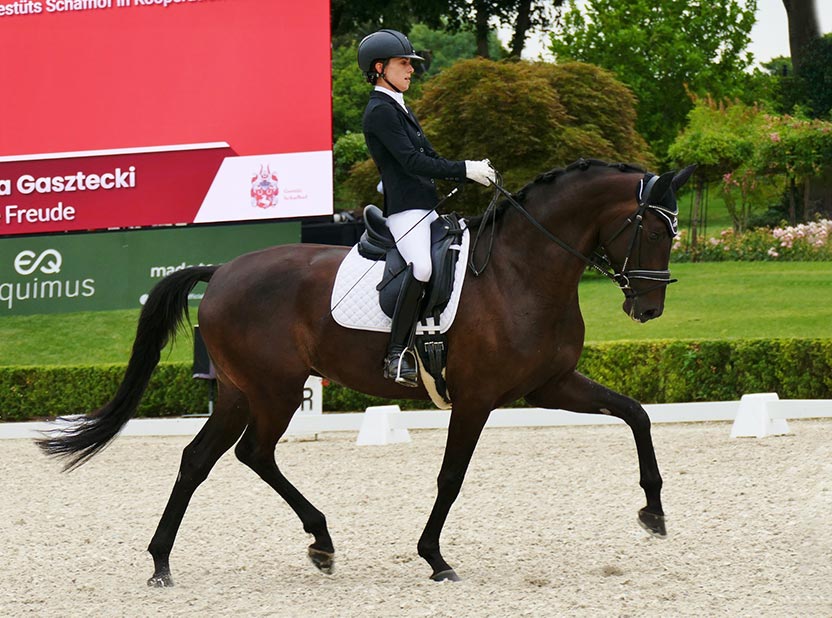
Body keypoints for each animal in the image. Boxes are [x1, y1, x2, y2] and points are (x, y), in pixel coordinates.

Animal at [37, 158, 696, 584]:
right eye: (650, 227)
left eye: (674, 229)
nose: (649, 308)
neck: (521, 270)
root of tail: (222, 270)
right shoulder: (478, 398)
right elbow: (451, 476)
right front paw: (434, 557)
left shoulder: (548, 385)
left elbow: (635, 414)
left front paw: (654, 511)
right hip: (274, 390)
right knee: (252, 454)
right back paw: (315, 540)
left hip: (239, 392)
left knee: (202, 459)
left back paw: (167, 560)